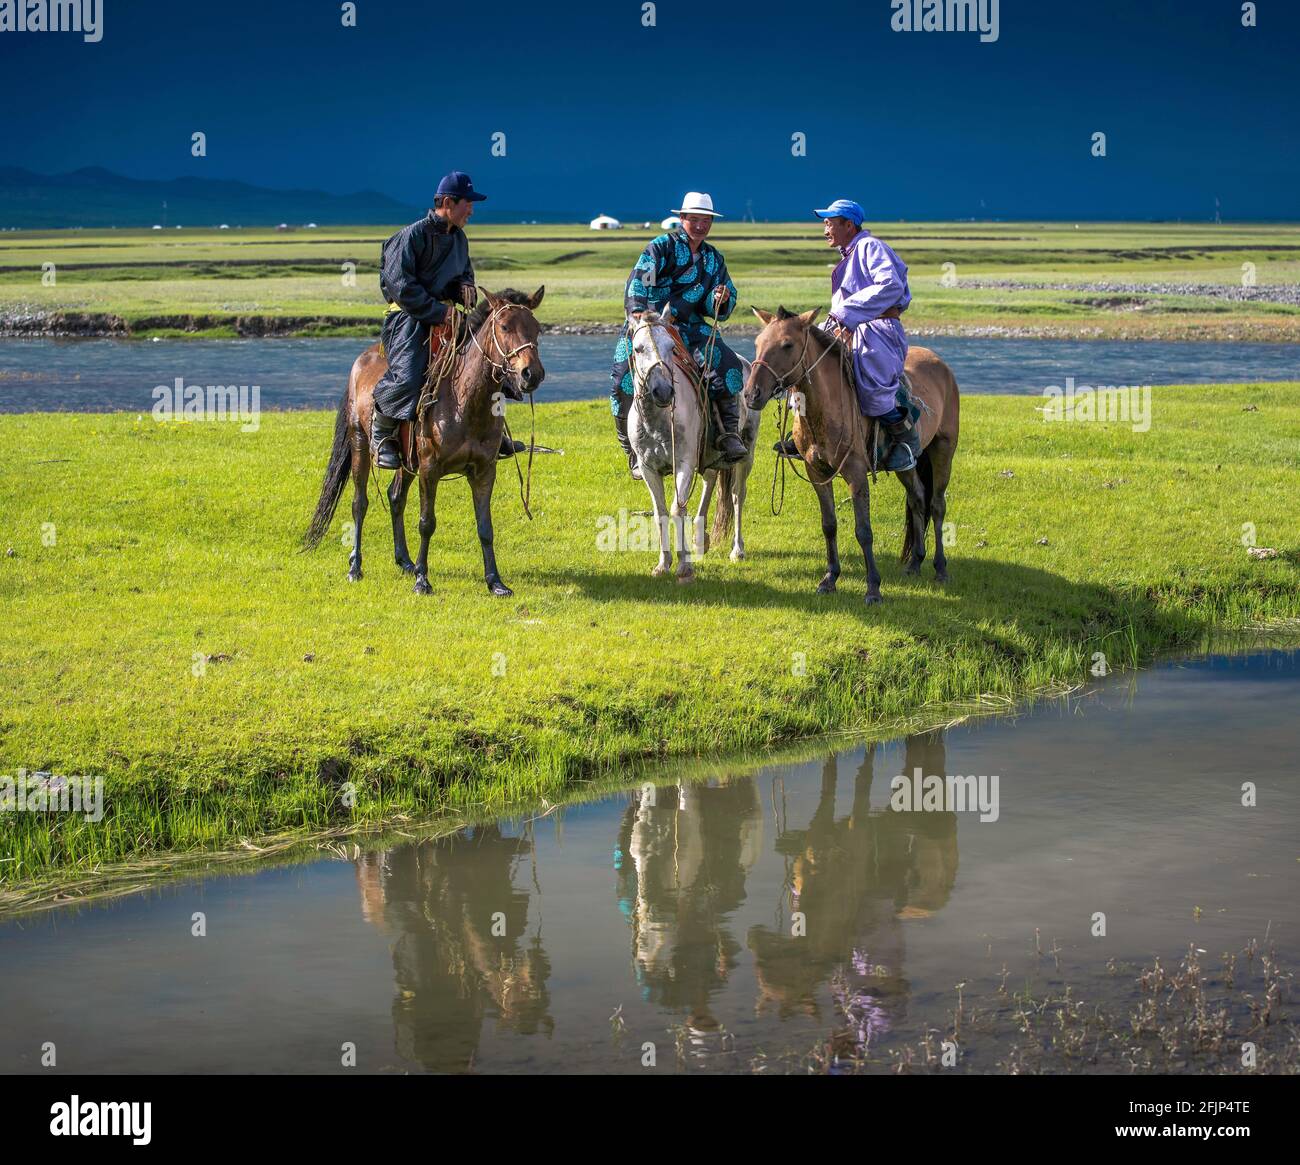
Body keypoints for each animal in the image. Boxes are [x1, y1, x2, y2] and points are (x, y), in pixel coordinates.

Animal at [302, 286, 543, 595]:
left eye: (536, 328)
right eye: (504, 327)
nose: (531, 374)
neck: (465, 400)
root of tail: (361, 360)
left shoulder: (484, 470)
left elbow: (485, 527)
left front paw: (495, 582)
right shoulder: (430, 468)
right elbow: (427, 523)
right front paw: (422, 581)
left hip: (405, 460)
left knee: (395, 497)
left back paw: (405, 561)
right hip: (360, 444)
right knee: (360, 503)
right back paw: (356, 567)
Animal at [743, 304, 956, 605]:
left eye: (787, 345)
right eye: (758, 343)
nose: (751, 395)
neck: (825, 406)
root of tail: (940, 364)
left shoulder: (855, 472)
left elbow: (863, 530)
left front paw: (873, 588)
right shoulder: (816, 471)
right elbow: (829, 524)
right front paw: (830, 578)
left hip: (943, 449)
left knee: (937, 505)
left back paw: (940, 568)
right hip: (907, 464)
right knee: (917, 498)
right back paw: (915, 562)